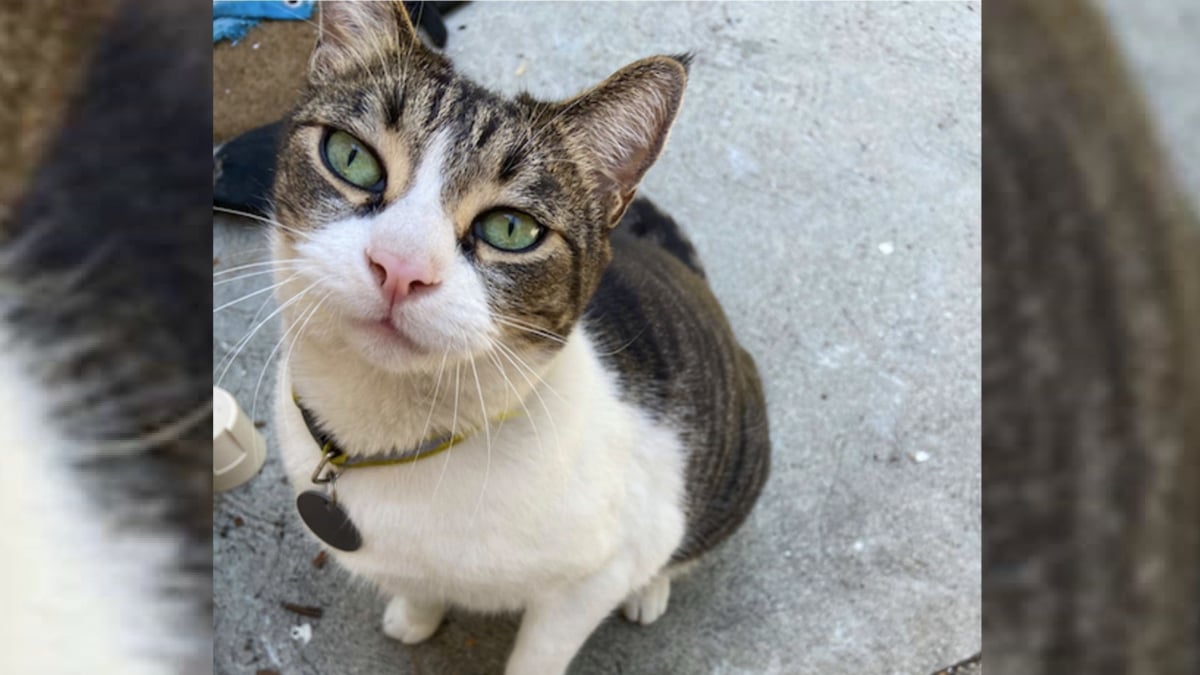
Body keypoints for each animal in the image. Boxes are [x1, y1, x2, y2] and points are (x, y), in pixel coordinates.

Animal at [267, 2, 763, 667]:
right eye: (350, 158)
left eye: (510, 228)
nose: (400, 266)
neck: (395, 441)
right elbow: (419, 586)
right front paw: (416, 613)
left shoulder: (595, 574)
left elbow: (542, 652)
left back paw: (650, 590)